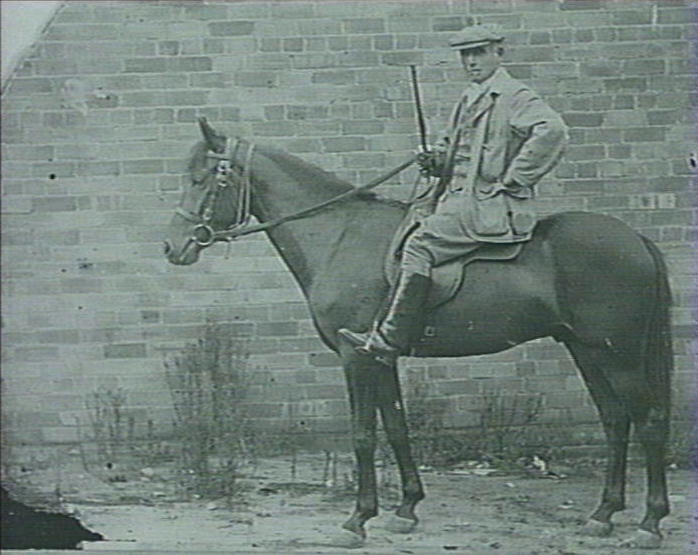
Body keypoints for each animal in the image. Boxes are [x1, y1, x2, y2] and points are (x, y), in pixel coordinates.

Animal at [164, 118, 673, 549]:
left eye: (203, 178)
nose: (173, 247)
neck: (339, 235)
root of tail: (636, 239)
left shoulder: (355, 356)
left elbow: (363, 435)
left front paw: (357, 520)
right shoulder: (380, 356)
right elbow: (397, 428)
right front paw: (405, 509)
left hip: (618, 355)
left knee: (648, 422)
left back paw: (649, 523)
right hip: (587, 351)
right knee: (615, 421)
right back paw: (602, 515)